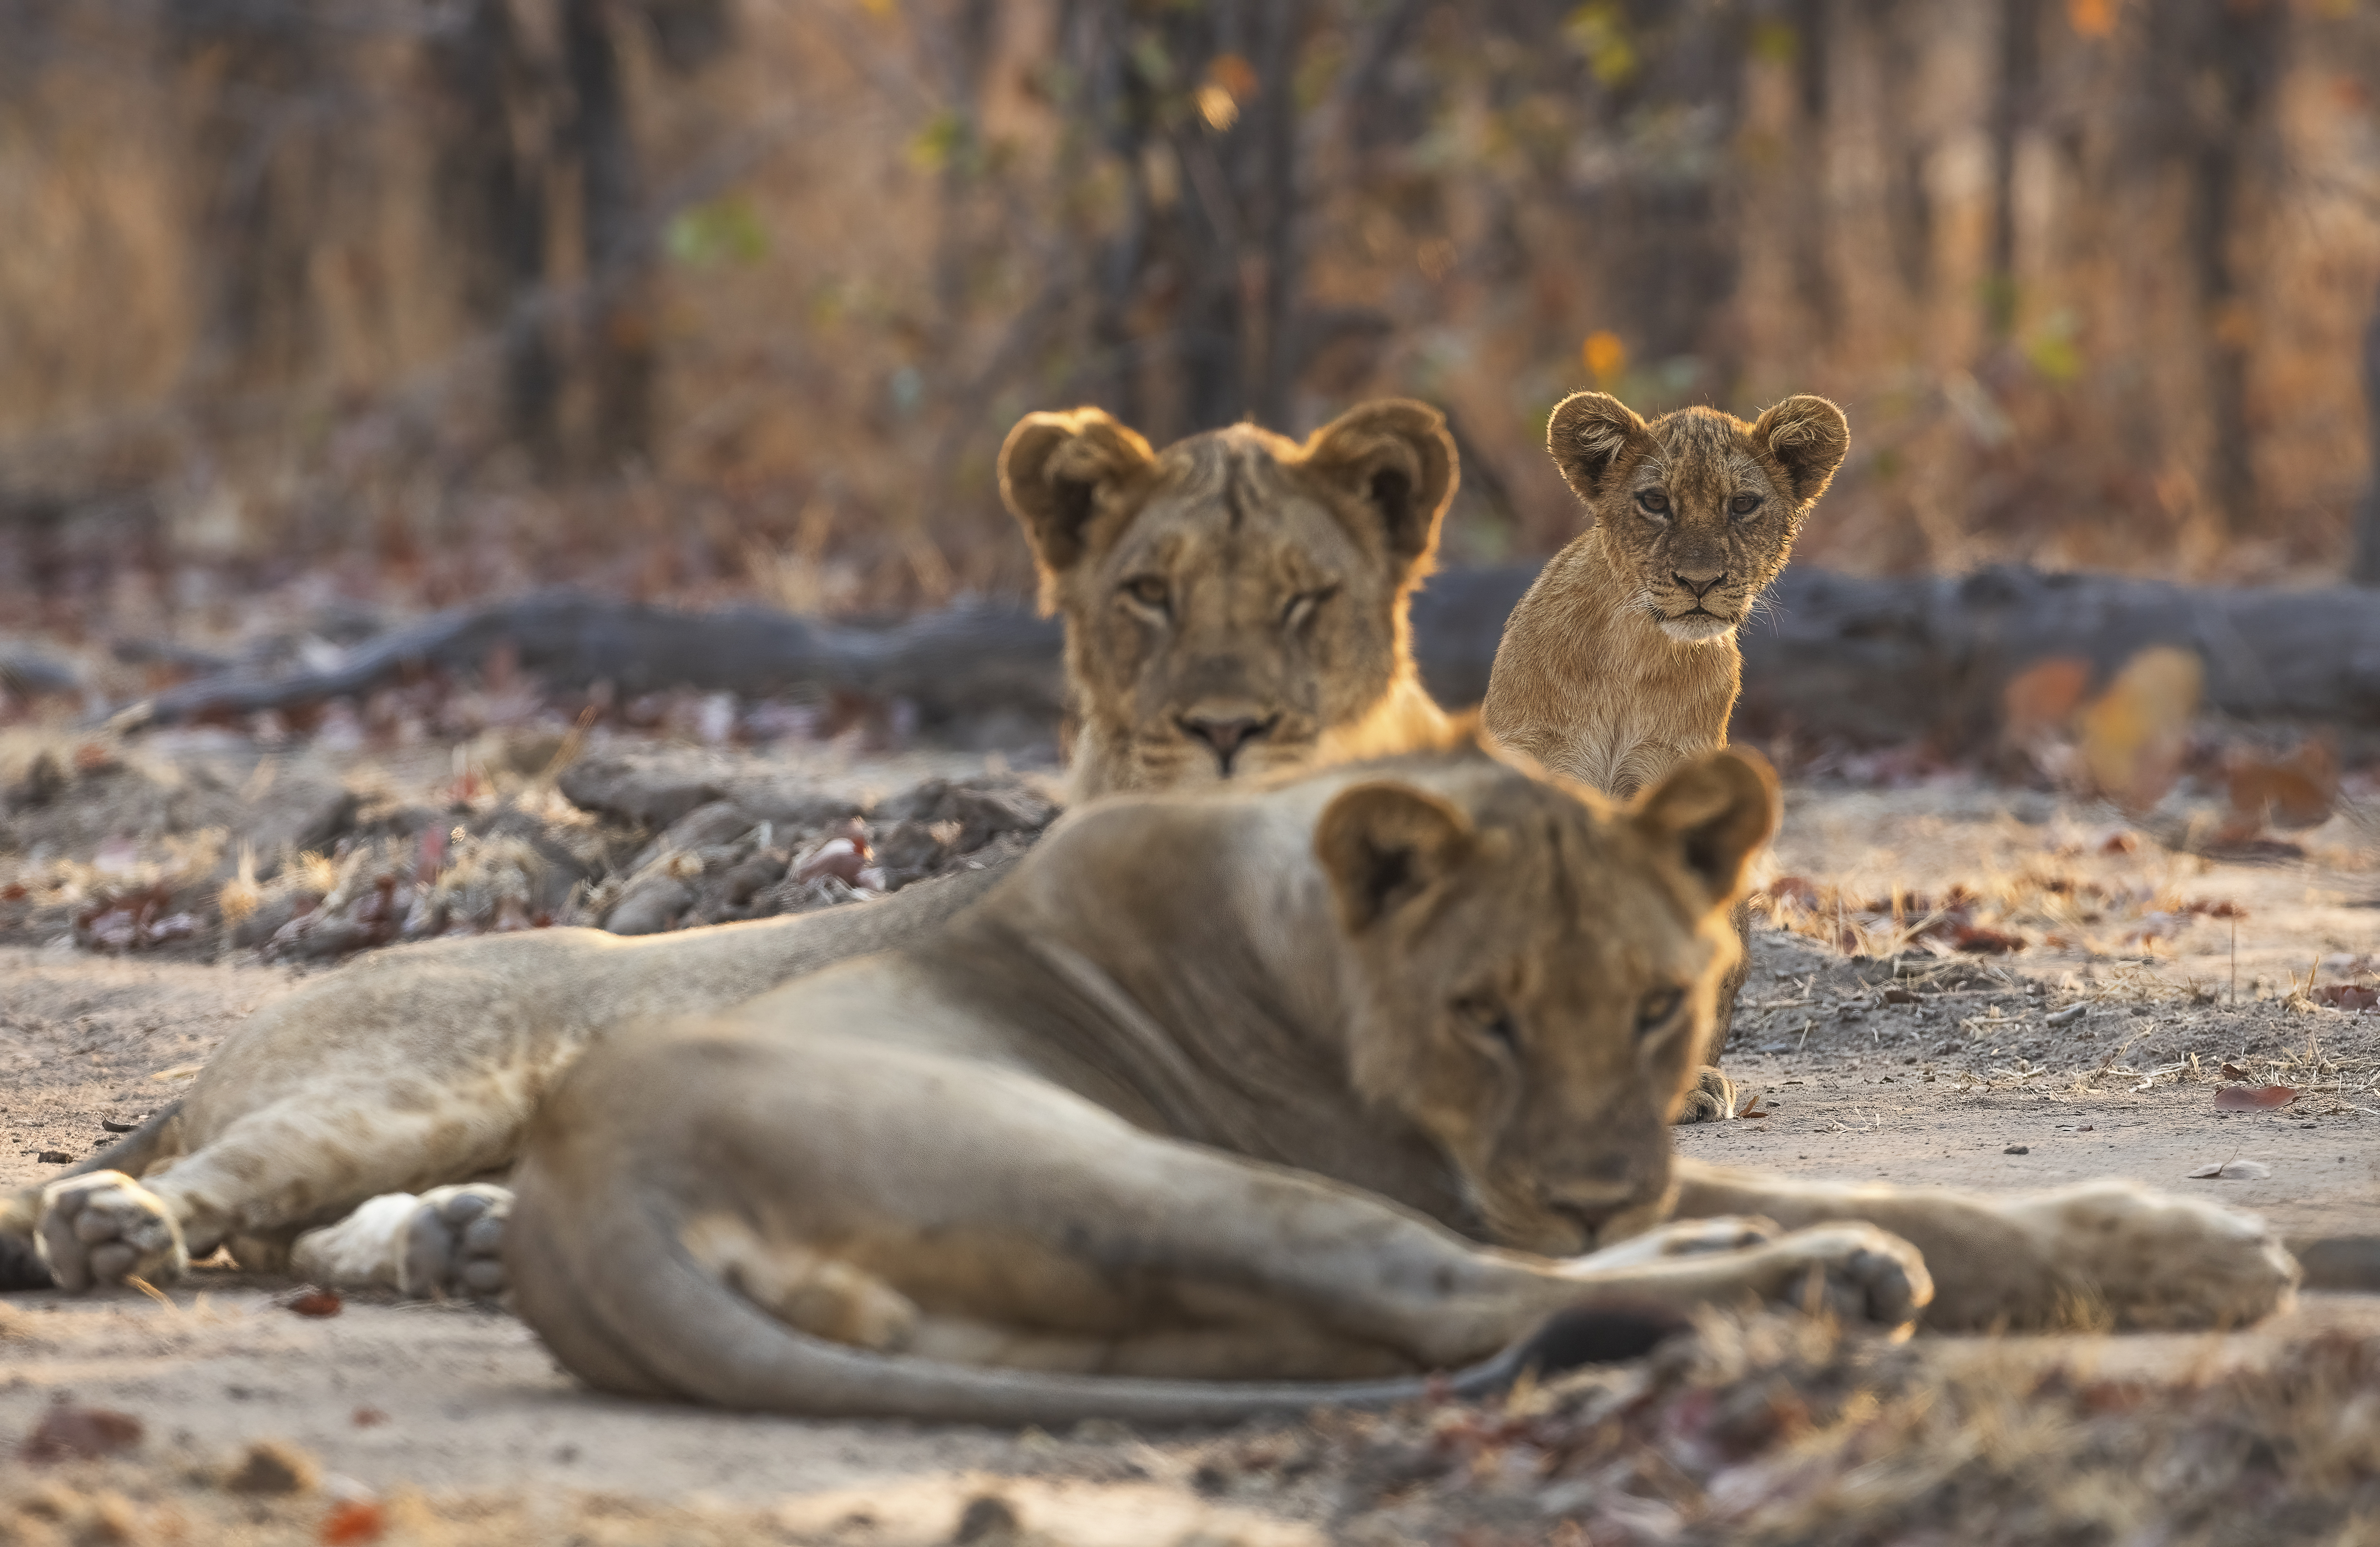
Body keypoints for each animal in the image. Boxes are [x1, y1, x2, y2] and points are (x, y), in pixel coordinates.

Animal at [3, 398, 1466, 1296]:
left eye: (1305, 602)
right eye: (1146, 597)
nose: (1226, 730)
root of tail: (231, 1043)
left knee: (307, 1233)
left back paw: (461, 1241)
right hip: (431, 1072)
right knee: (237, 1181)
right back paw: (123, 1225)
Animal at [495, 742, 2297, 1425]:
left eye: (1659, 1004)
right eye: (1483, 1014)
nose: (1591, 1187)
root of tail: (585, 1187)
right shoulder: (1441, 1165)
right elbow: (1920, 1191)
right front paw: (2201, 1249)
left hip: (1102, 1309)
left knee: (1437, 1312)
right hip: (1132, 1165)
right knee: (1450, 1295)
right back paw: (1835, 1278)